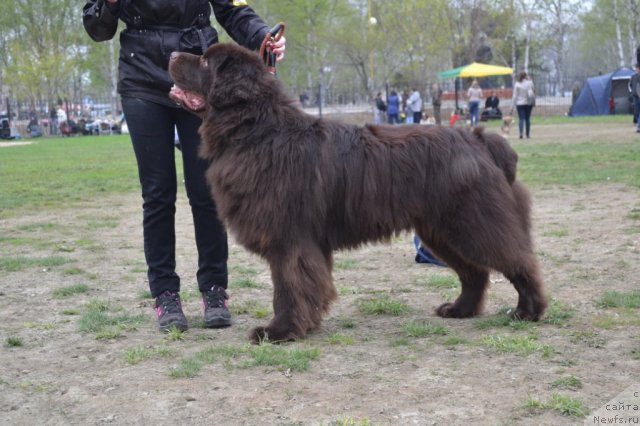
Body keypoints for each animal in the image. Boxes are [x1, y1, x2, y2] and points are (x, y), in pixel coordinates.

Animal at [168, 43, 548, 342]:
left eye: (206, 62)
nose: (170, 54)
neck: (255, 131)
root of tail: (479, 139)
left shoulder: (289, 239)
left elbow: (289, 286)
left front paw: (281, 331)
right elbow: (303, 284)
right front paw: (303, 325)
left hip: (473, 221)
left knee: (518, 261)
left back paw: (528, 311)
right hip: (441, 231)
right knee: (475, 272)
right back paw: (460, 309)